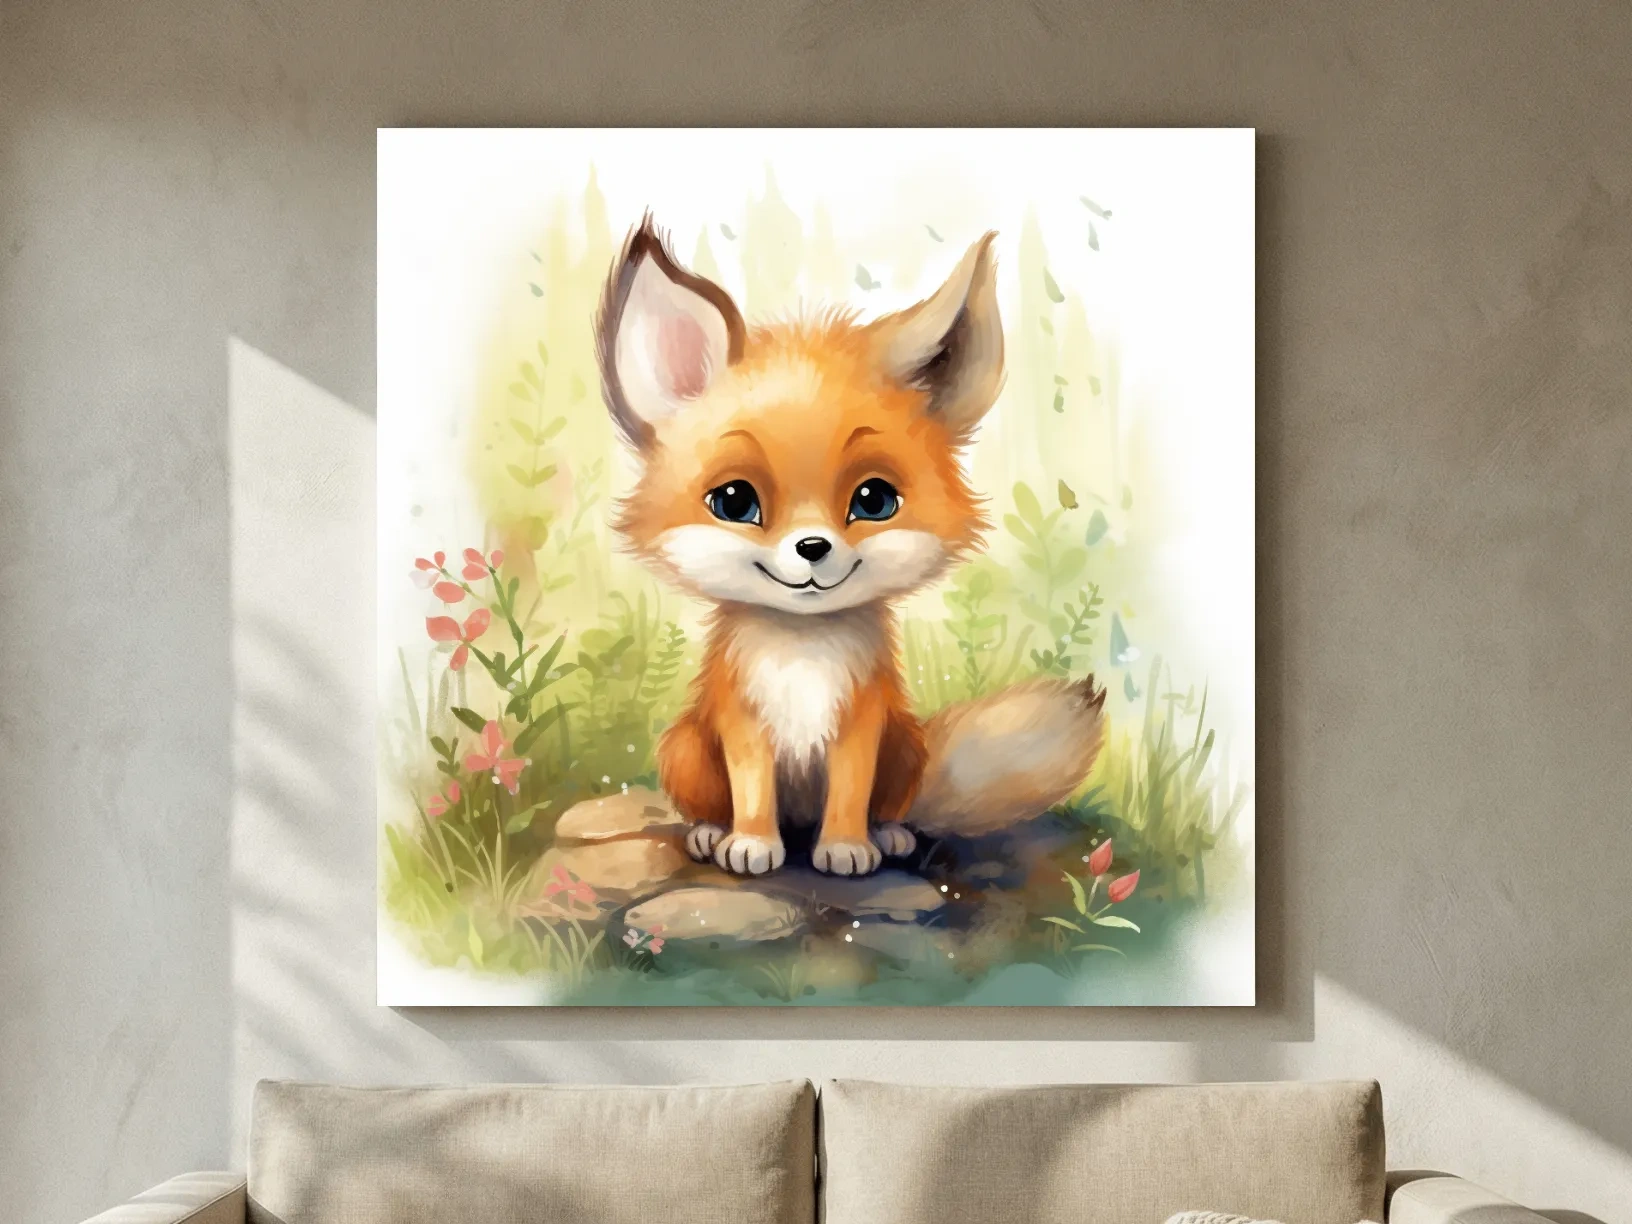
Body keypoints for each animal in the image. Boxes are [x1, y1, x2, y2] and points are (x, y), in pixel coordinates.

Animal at [595, 217, 1106, 878]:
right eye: (734, 502)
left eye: (874, 500)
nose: (813, 547)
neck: (803, 653)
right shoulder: (743, 722)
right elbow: (752, 789)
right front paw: (752, 843)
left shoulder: (863, 723)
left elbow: (850, 790)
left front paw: (845, 846)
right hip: (684, 747)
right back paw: (711, 833)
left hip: (905, 746)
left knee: (893, 805)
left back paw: (887, 835)